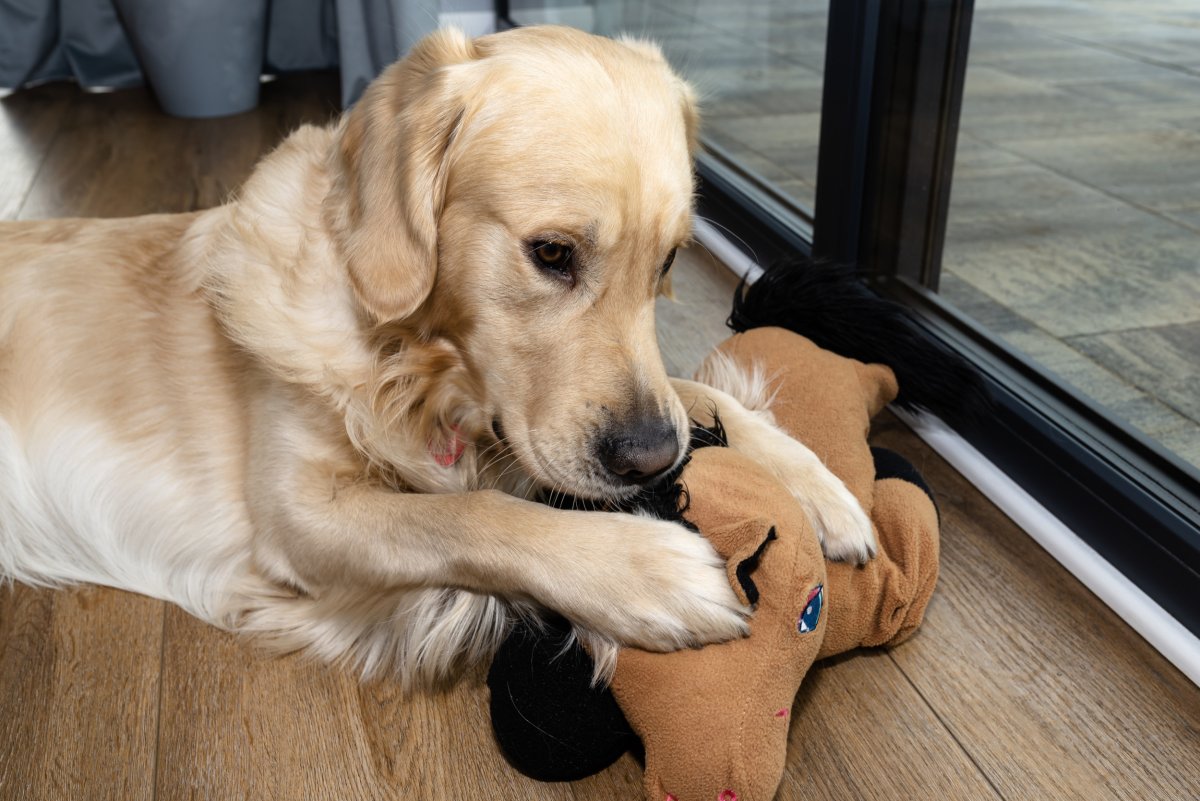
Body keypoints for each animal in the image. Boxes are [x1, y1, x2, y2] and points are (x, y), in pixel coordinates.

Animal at [0, 28, 873, 685]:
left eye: (668, 261)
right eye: (552, 253)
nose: (651, 461)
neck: (414, 364)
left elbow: (702, 394)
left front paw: (821, 489)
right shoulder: (296, 512)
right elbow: (469, 510)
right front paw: (644, 569)